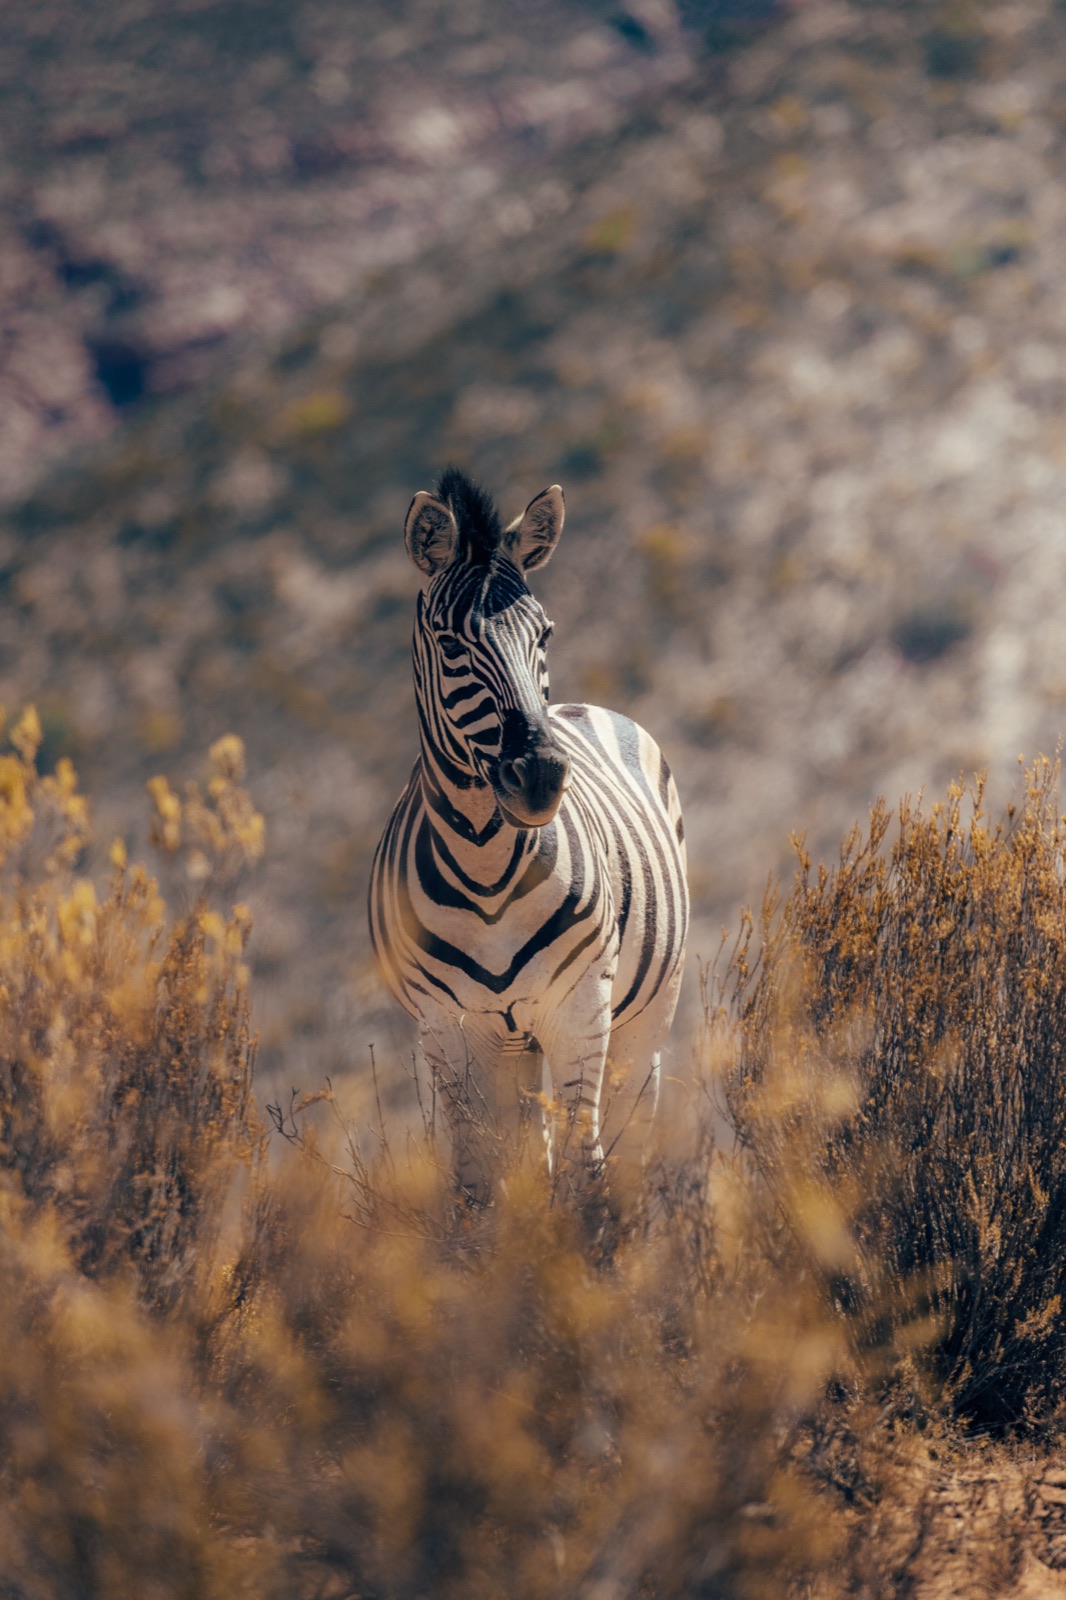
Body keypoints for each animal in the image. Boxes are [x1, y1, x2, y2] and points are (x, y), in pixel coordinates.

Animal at [369, 467, 688, 1203]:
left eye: (544, 635)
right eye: (451, 644)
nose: (540, 774)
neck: (486, 870)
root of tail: (576, 706)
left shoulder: (578, 1008)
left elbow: (583, 1171)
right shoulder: (448, 1029)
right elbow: (480, 1186)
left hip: (640, 1018)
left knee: (630, 1142)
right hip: (513, 1046)